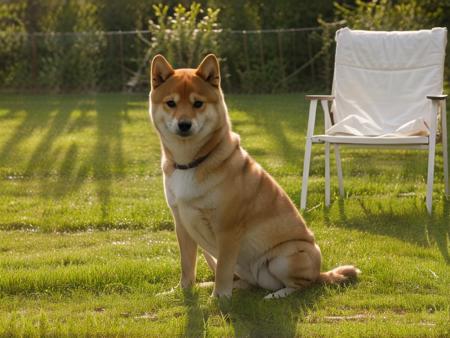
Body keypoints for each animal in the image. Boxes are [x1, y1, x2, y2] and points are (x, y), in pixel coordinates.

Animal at [149, 53, 360, 298]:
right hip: (213, 256)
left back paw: (275, 295)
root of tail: (320, 271)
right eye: (171, 103)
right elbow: (187, 265)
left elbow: (223, 268)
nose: (184, 124)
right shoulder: (182, 224)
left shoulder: (227, 229)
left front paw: (220, 298)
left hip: (286, 257)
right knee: (247, 282)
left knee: (301, 284)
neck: (190, 163)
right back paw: (213, 285)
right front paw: (182, 290)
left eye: (198, 103)